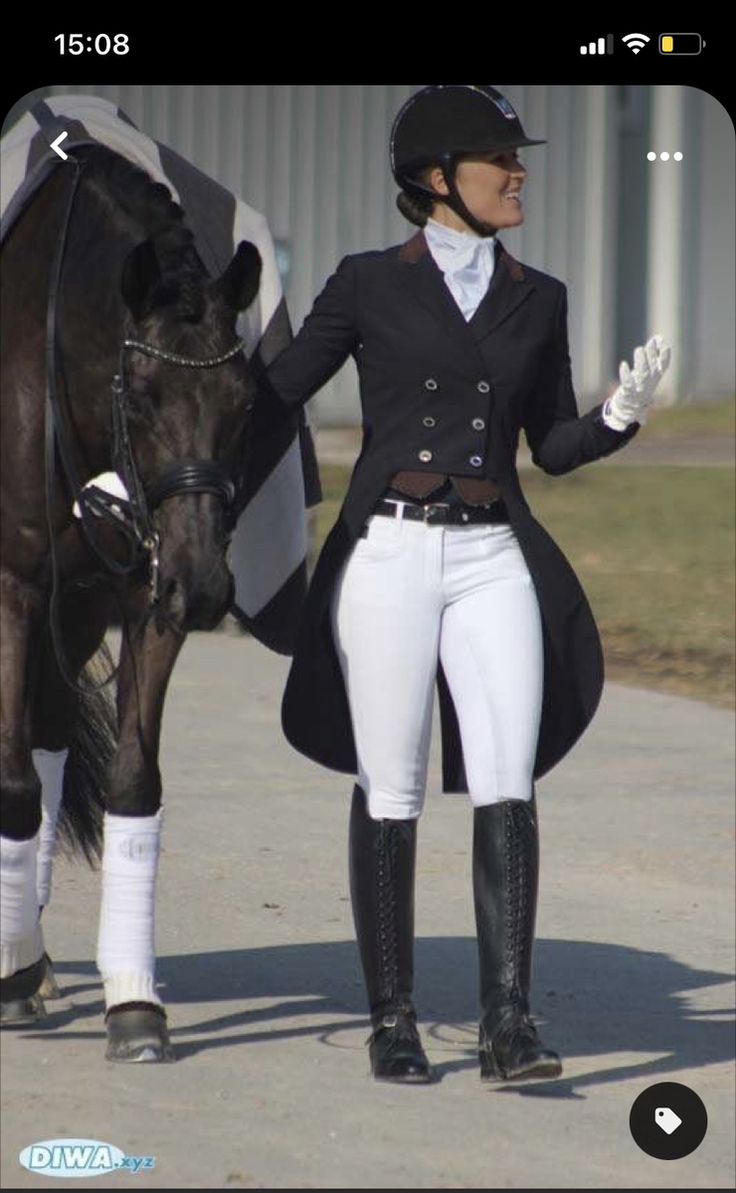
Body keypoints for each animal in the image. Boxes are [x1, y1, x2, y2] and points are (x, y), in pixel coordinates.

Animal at [0, 141, 262, 1064]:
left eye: (243, 402)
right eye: (142, 394)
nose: (209, 583)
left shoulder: (141, 596)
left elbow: (131, 783)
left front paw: (134, 1002)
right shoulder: (13, 589)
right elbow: (11, 785)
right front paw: (15, 973)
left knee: (47, 735)